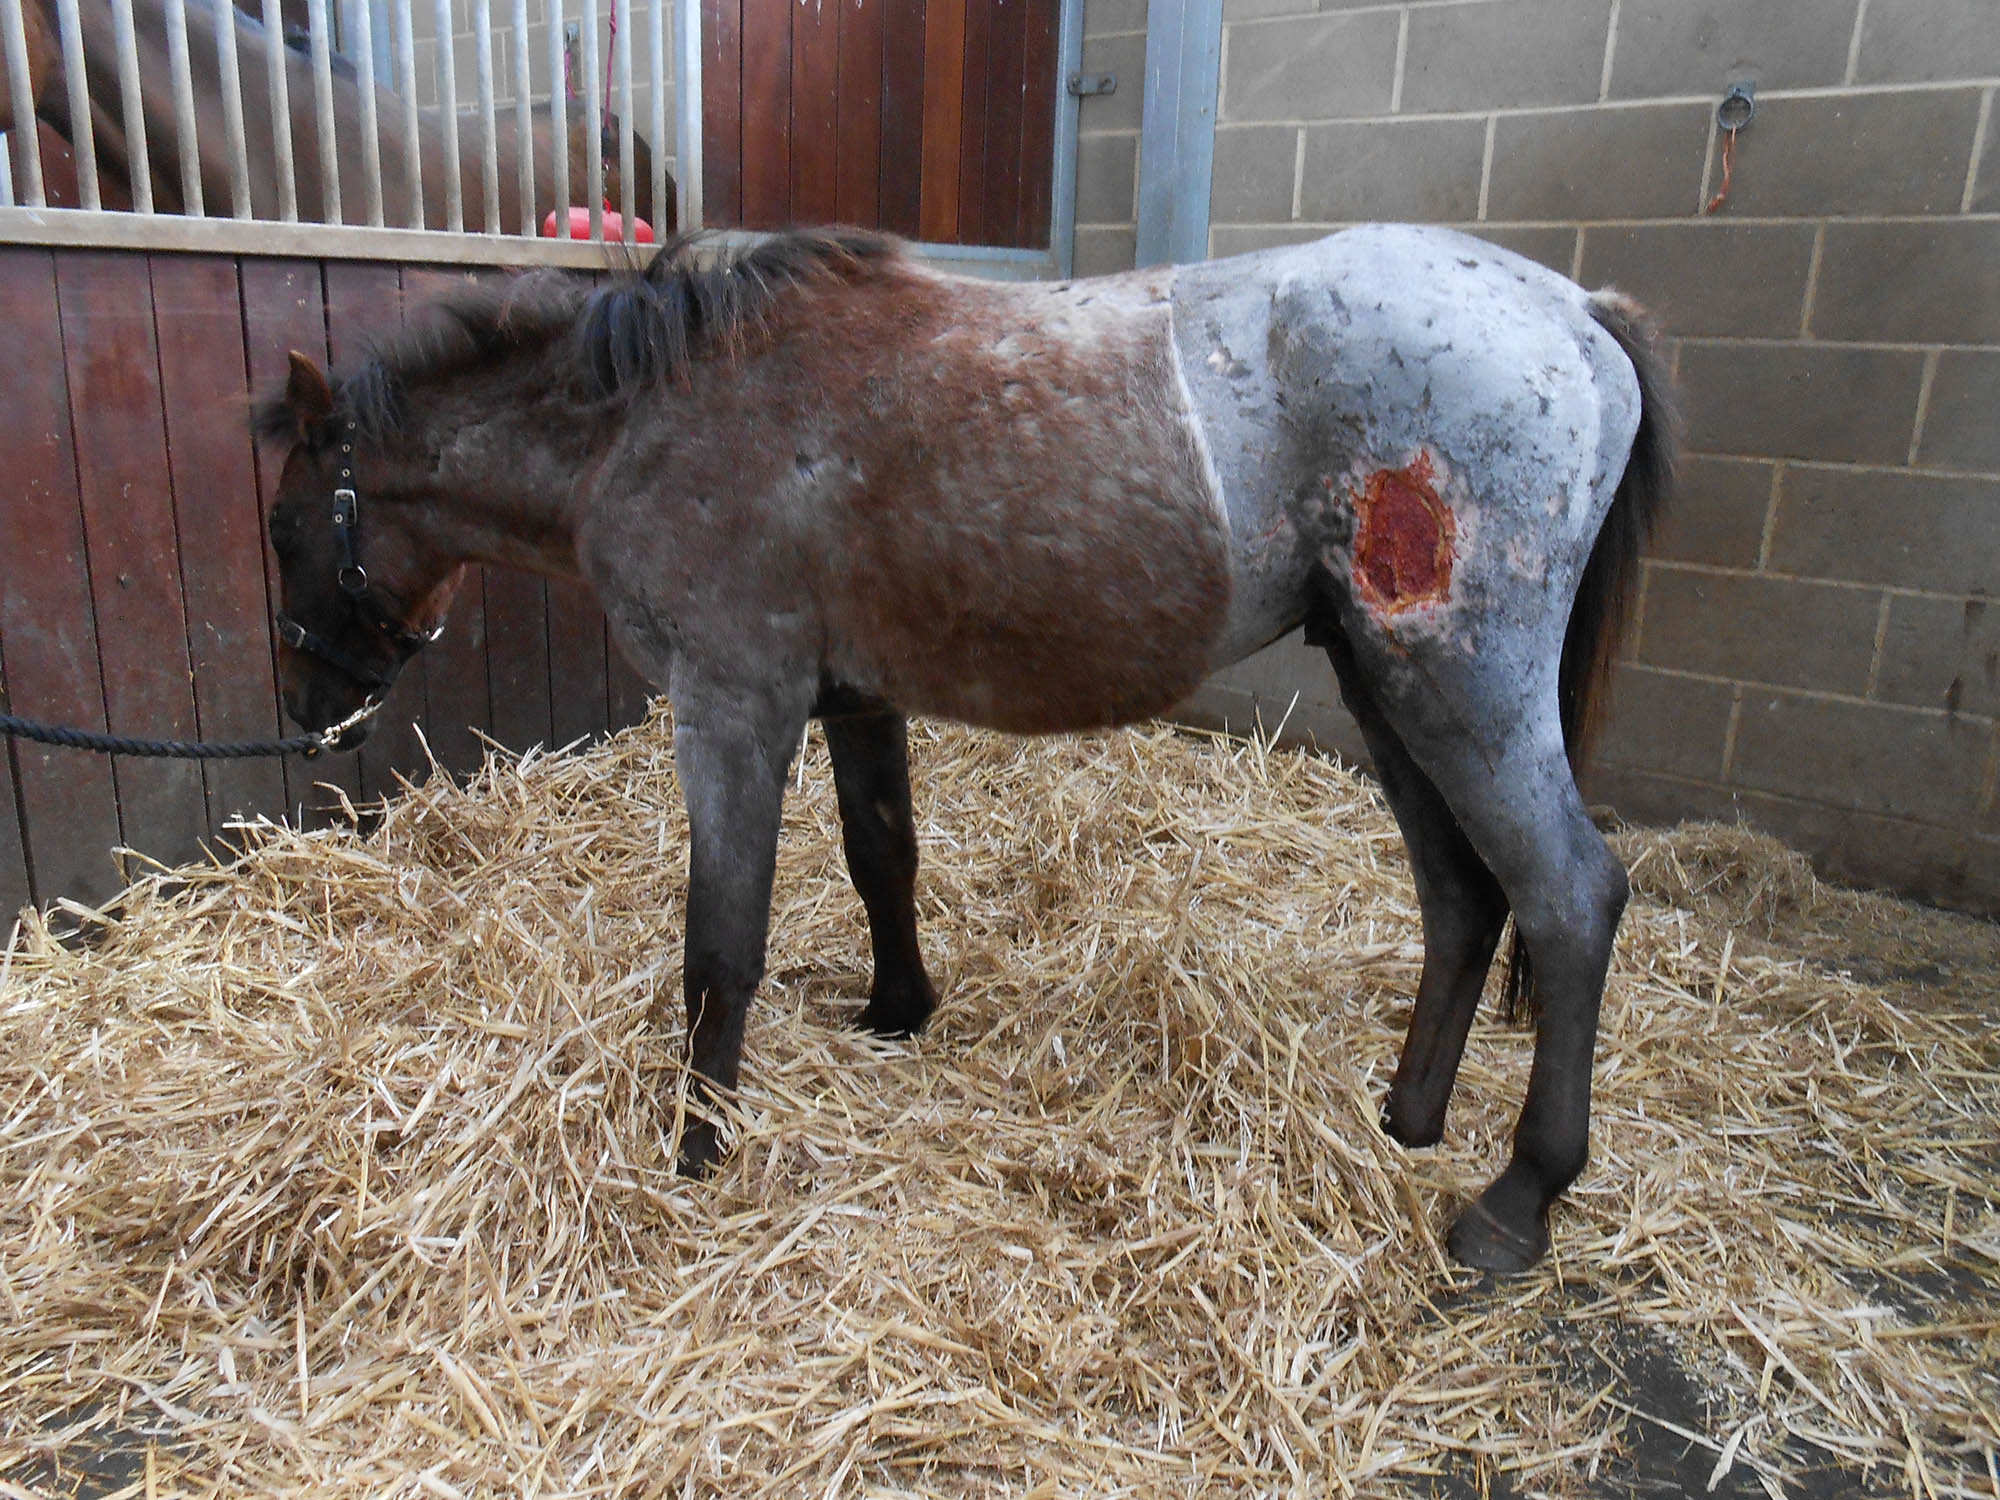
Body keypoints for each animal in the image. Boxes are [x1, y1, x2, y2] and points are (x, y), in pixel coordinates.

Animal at [254, 226, 1677, 1272]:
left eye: (282, 529)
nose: (305, 702)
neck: (649, 419)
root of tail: (1577, 312)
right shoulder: (852, 702)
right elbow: (880, 856)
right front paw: (899, 1008)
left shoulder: (731, 706)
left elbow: (719, 946)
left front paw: (698, 1148)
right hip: (1391, 690)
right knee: (1460, 896)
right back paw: (1409, 1118)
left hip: (1458, 689)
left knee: (1567, 898)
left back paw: (1516, 1201)